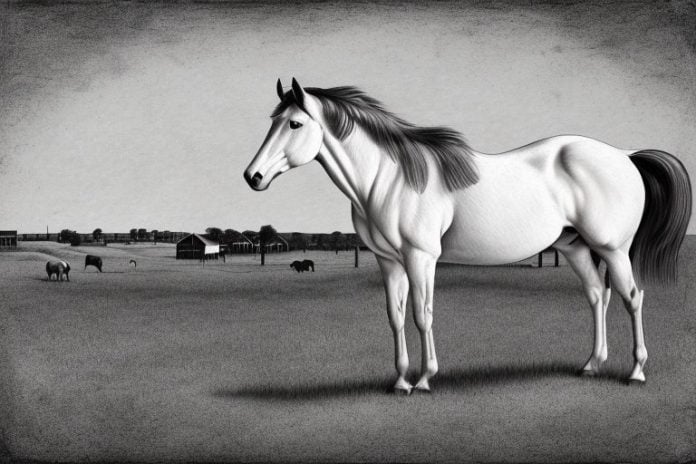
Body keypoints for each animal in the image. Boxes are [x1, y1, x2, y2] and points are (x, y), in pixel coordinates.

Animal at [244, 78, 692, 394]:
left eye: (295, 123)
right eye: (272, 122)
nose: (253, 177)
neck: (389, 179)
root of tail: (625, 155)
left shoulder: (421, 257)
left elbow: (421, 314)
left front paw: (425, 380)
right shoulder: (388, 261)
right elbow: (394, 316)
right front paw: (400, 381)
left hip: (613, 248)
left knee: (632, 297)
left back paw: (635, 372)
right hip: (576, 247)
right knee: (598, 296)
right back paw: (591, 365)